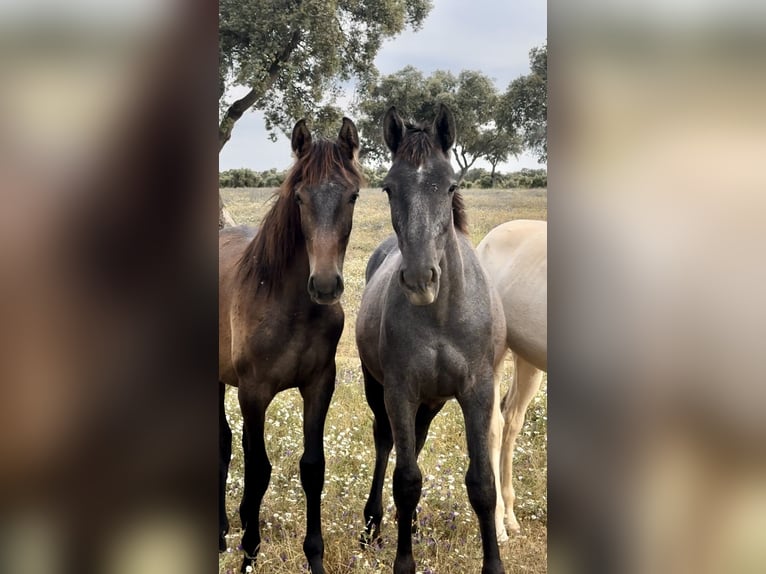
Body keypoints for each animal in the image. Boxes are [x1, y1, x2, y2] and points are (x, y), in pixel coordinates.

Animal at [220, 118, 364, 574]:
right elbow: (258, 470)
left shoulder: (320, 385)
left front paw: (314, 557)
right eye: (299, 196)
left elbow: (312, 467)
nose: (325, 285)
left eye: (352, 195)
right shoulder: (253, 393)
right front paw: (249, 552)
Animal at [356, 106, 510, 572]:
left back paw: (414, 526)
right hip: (381, 391)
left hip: (432, 402)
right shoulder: (400, 391)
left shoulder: (477, 392)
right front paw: (403, 562)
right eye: (388, 187)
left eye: (451, 185)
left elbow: (482, 484)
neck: (442, 315)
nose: (420, 278)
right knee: (386, 443)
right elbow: (406, 480)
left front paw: (493, 564)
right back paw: (372, 526)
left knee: (418, 442)